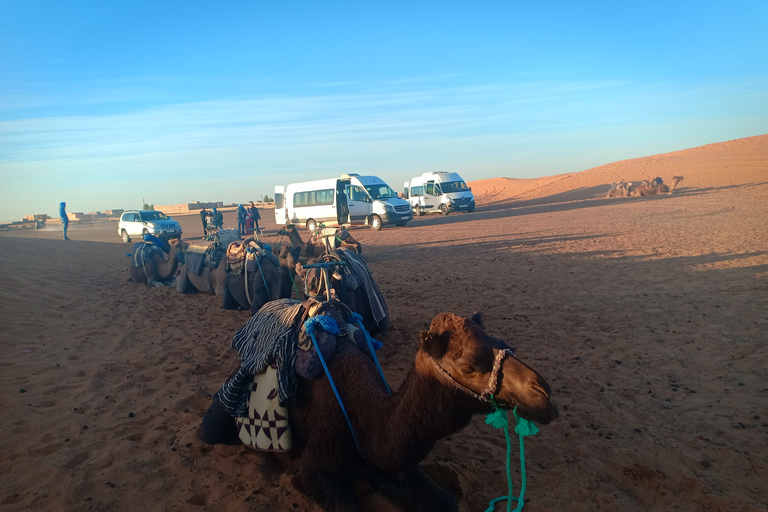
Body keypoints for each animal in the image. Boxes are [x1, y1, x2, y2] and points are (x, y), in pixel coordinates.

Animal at [201, 310, 556, 510]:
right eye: (468, 365)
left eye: (503, 342)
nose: (544, 396)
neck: (363, 414)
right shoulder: (313, 470)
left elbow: (445, 500)